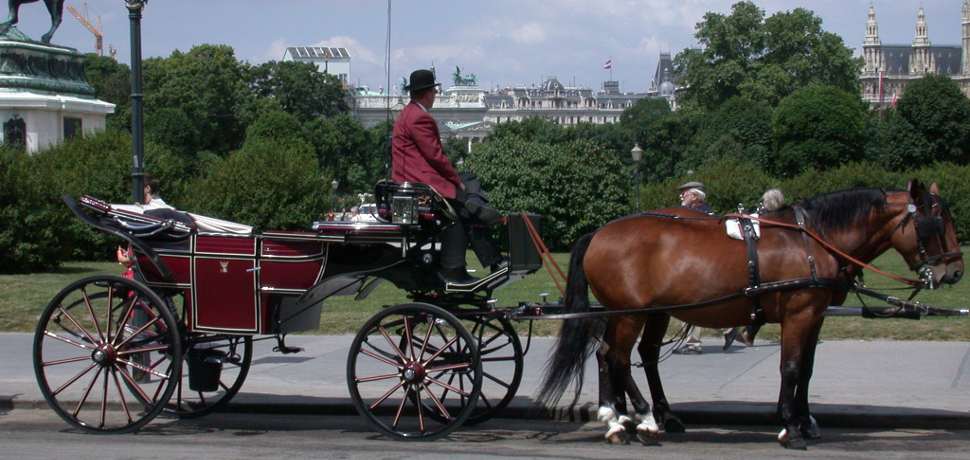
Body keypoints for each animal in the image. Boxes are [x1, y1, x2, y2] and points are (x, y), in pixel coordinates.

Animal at [536, 180, 960, 450]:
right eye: (935, 223)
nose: (954, 271)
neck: (813, 239)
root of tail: (600, 232)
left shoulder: (817, 313)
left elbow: (806, 369)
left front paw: (805, 420)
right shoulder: (800, 311)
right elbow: (791, 367)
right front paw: (790, 425)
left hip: (648, 311)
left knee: (625, 356)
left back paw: (624, 417)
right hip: (632, 313)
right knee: (617, 358)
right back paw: (641, 418)